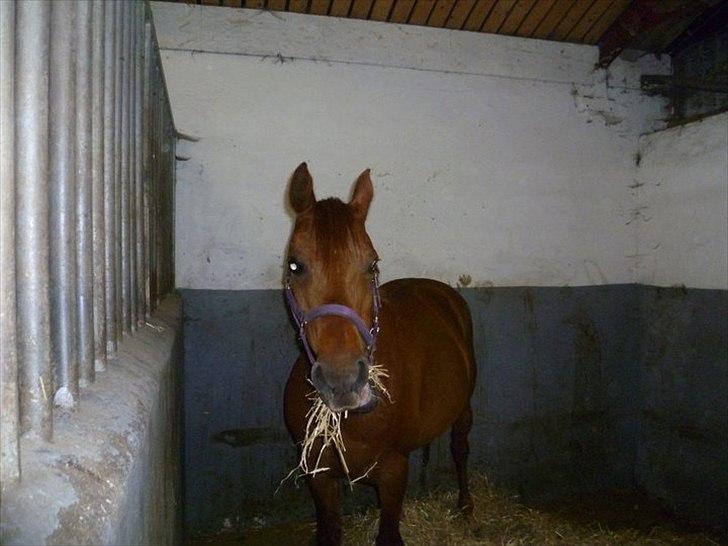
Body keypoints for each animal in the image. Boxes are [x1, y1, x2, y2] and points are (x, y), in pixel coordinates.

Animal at [283, 163, 477, 545]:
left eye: (372, 265)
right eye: (295, 266)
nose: (342, 381)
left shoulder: (392, 471)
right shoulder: (319, 474)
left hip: (463, 409)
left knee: (460, 449)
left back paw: (464, 505)